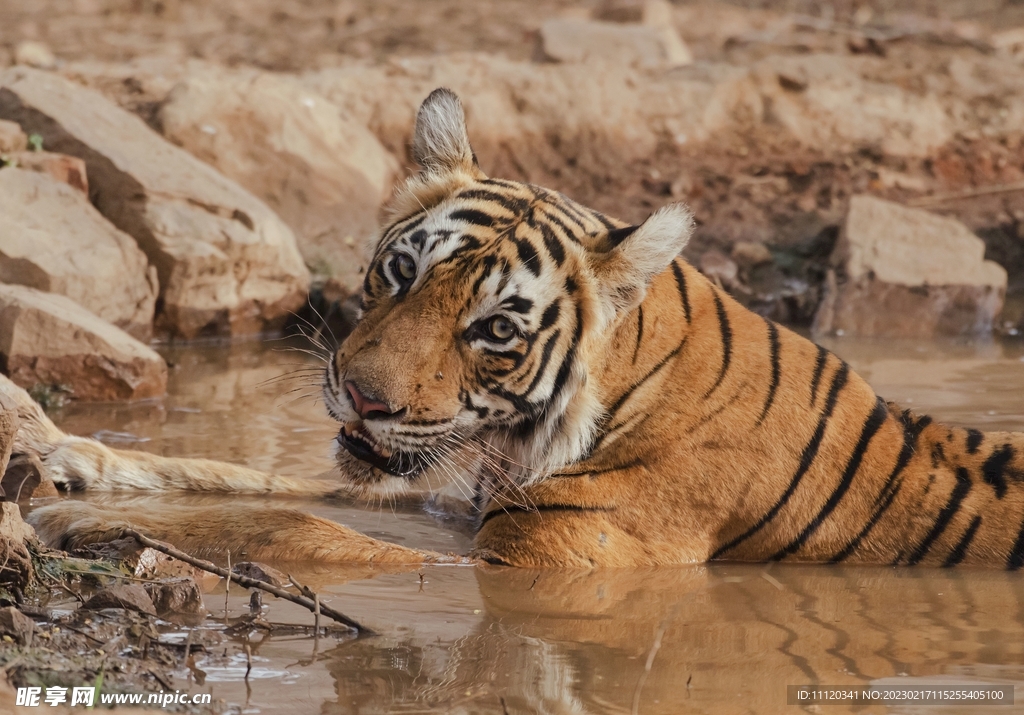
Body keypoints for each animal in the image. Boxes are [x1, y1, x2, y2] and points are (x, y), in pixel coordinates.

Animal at [14, 87, 1024, 569]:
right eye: (402, 271)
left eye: (496, 330)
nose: (362, 397)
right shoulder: (453, 499)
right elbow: (256, 479)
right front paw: (71, 456)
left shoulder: (549, 561)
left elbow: (296, 525)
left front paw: (69, 514)